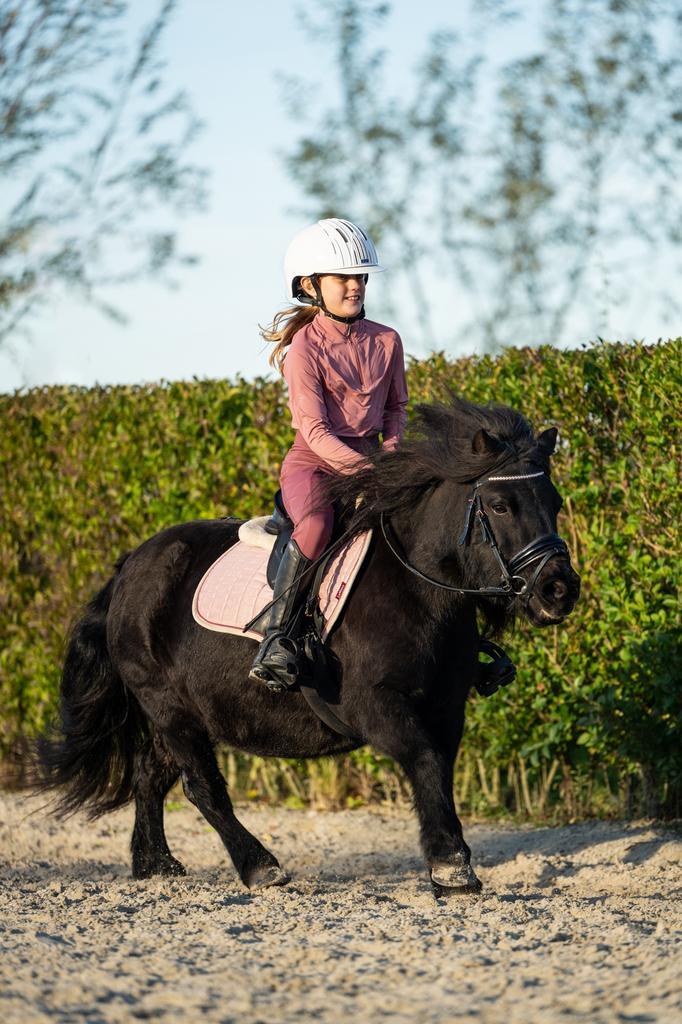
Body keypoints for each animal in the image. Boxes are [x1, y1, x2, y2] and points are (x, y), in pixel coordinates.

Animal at [37, 397, 580, 896]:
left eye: (553, 502)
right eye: (501, 505)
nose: (559, 589)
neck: (417, 591)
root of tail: (130, 564)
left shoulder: (447, 706)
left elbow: (439, 770)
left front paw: (450, 863)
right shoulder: (375, 706)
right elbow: (424, 761)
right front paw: (451, 867)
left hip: (180, 715)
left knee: (151, 776)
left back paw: (156, 866)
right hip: (169, 708)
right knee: (201, 787)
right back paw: (260, 867)